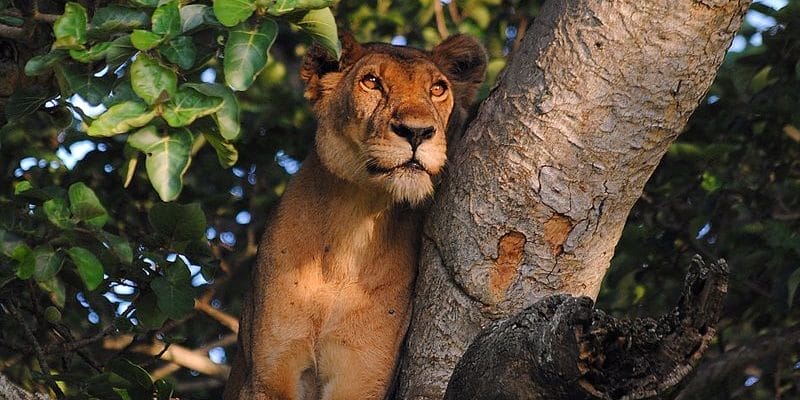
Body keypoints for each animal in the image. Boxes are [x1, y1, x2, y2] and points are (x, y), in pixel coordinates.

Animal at [225, 32, 488, 400]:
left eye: (438, 88)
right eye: (371, 82)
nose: (417, 132)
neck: (353, 223)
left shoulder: (362, 375)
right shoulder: (270, 375)